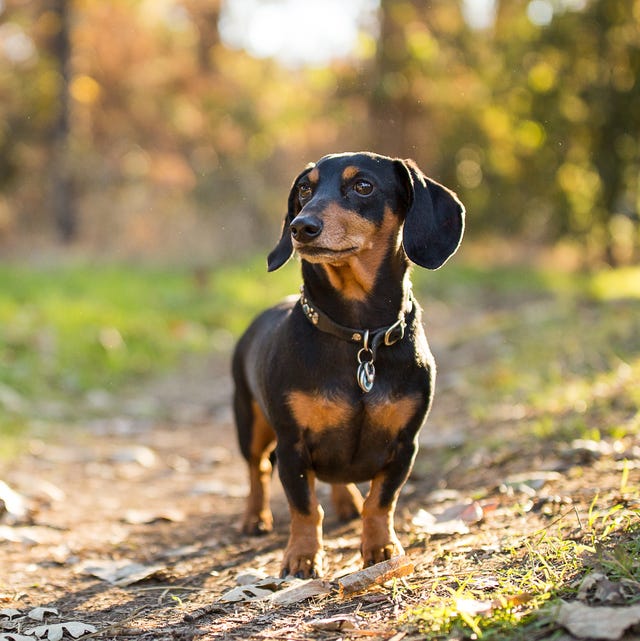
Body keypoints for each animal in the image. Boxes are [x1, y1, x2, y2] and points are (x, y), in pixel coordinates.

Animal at [232, 152, 462, 576]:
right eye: (304, 189)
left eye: (363, 186)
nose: (301, 227)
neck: (359, 335)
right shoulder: (292, 446)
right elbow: (305, 508)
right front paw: (302, 556)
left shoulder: (404, 445)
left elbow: (381, 501)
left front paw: (382, 548)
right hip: (249, 421)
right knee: (257, 470)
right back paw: (255, 518)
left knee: (336, 476)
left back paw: (347, 502)